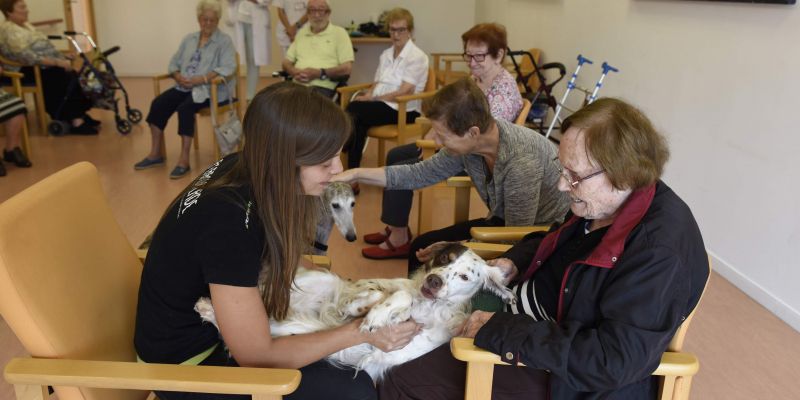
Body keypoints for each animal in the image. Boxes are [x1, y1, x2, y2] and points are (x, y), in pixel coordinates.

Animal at [197, 241, 516, 382]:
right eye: (444, 258)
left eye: (464, 276)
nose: (434, 281)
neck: (425, 305)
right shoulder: (382, 287)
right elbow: (387, 292)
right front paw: (367, 309)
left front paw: (374, 313)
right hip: (319, 283)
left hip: (298, 331)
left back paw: (209, 310)